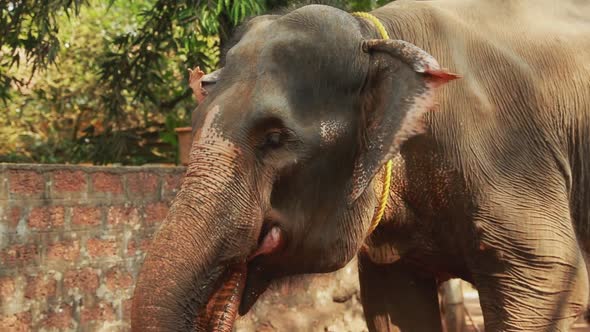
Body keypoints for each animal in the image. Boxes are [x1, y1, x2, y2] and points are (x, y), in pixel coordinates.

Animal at [132, 0, 590, 330]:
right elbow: (393, 302)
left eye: (274, 139)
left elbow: (544, 276)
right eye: (193, 127)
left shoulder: (507, 156)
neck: (374, 36)